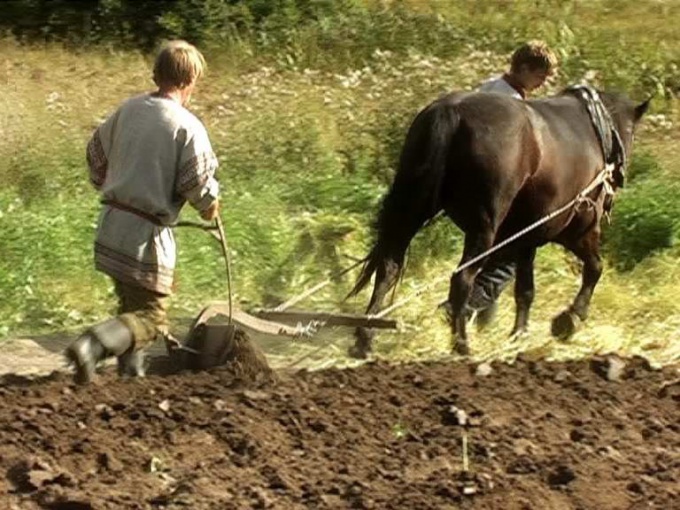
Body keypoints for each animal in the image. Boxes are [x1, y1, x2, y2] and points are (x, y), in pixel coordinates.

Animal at [348, 87, 652, 358]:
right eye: (632, 133)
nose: (621, 177)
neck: (596, 130)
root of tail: (450, 112)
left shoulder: (527, 238)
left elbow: (525, 291)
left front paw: (519, 334)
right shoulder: (576, 229)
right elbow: (594, 268)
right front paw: (568, 320)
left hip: (413, 211)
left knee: (388, 268)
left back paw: (365, 339)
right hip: (484, 230)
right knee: (461, 279)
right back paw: (461, 345)